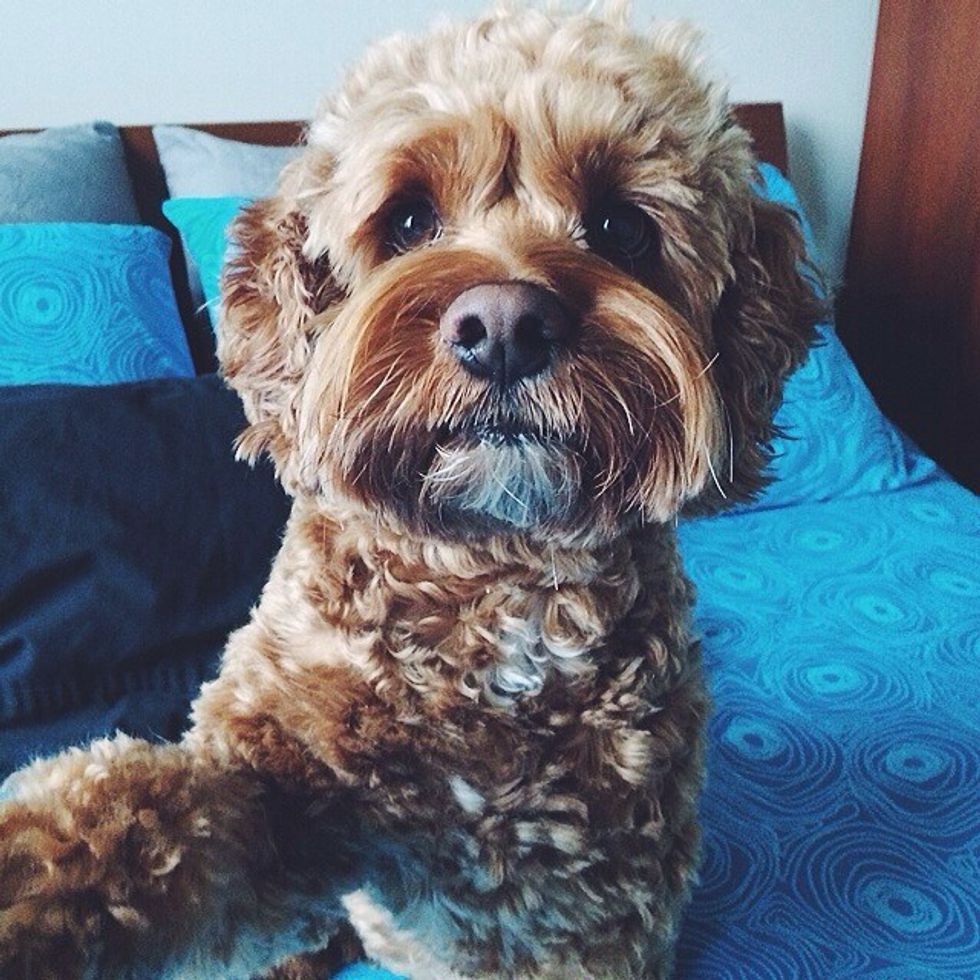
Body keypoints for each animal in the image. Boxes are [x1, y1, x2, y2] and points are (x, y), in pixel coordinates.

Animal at [0, 6, 822, 978]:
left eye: (622, 227)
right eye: (408, 217)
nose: (504, 326)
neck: (489, 577)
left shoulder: (595, 904)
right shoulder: (285, 790)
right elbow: (143, 815)